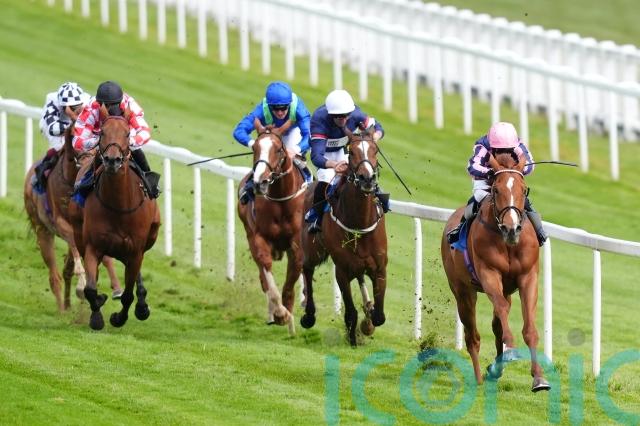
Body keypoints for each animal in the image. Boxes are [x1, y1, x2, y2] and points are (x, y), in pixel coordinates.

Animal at [24, 124, 122, 311]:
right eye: (75, 139)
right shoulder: (61, 223)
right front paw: (82, 287)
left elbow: (105, 258)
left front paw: (117, 288)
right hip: (42, 229)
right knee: (54, 275)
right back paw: (62, 309)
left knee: (66, 270)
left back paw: (69, 305)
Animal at [71, 106, 161, 330]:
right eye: (102, 132)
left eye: (127, 134)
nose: (112, 160)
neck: (119, 206)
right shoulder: (93, 246)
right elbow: (91, 289)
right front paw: (97, 316)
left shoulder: (135, 250)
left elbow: (128, 295)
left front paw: (119, 318)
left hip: (147, 240)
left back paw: (142, 305)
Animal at [237, 119, 307, 334]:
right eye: (255, 148)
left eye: (278, 149)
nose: (260, 182)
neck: (280, 199)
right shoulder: (259, 239)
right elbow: (267, 273)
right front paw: (280, 313)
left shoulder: (297, 246)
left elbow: (290, 284)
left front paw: (290, 320)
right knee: (263, 276)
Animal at [300, 127, 387, 346]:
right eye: (352, 152)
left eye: (375, 150)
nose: (367, 179)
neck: (359, 222)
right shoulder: (342, 270)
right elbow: (350, 312)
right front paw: (353, 338)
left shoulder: (380, 268)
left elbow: (379, 316)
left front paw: (368, 321)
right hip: (312, 251)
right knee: (306, 270)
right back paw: (308, 315)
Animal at [440, 152, 550, 392]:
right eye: (496, 190)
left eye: (523, 189)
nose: (512, 229)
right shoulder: (489, 274)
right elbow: (500, 310)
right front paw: (511, 350)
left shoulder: (528, 277)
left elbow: (529, 328)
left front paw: (539, 378)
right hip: (463, 291)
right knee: (473, 335)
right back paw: (480, 378)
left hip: (506, 289)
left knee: (497, 323)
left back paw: (495, 369)